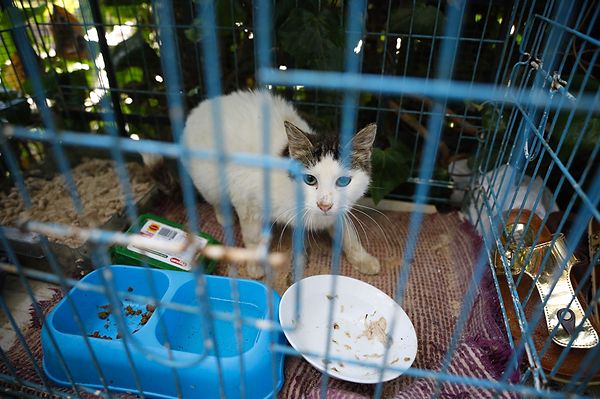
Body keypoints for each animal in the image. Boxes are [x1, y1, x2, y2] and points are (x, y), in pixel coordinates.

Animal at [182, 90, 380, 278]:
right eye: (310, 179)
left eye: (343, 181)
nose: (324, 205)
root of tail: (201, 106)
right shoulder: (246, 198)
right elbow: (252, 236)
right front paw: (254, 265)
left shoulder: (339, 210)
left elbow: (348, 232)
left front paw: (363, 259)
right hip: (208, 180)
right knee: (215, 197)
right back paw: (225, 216)